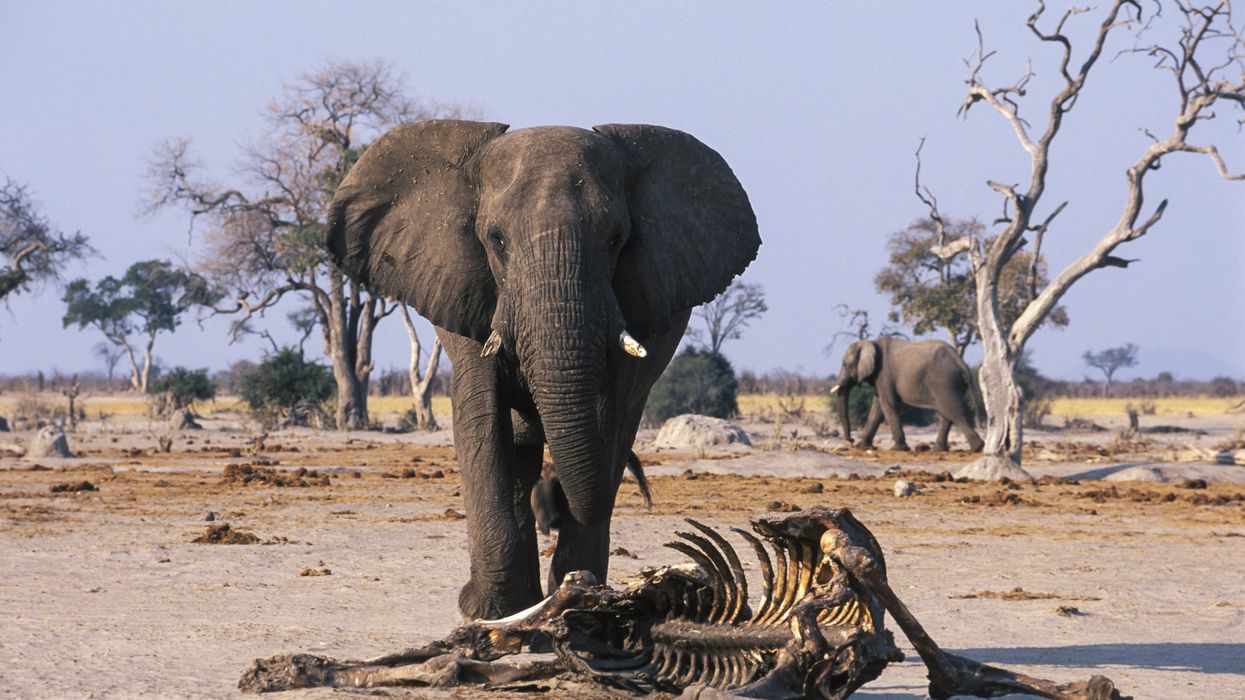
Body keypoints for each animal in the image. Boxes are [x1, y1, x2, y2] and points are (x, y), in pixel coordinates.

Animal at [327, 119, 760, 619]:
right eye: (495, 240)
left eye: (616, 239)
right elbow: (481, 419)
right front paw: (487, 611)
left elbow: (610, 418)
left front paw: (577, 598)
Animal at [830, 337, 984, 453]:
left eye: (844, 364)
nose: (851, 440)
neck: (871, 342)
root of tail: (960, 361)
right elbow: (877, 408)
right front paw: (863, 447)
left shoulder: (883, 374)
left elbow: (887, 405)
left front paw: (898, 449)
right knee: (946, 414)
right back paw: (938, 450)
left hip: (944, 381)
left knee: (953, 412)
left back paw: (977, 447)